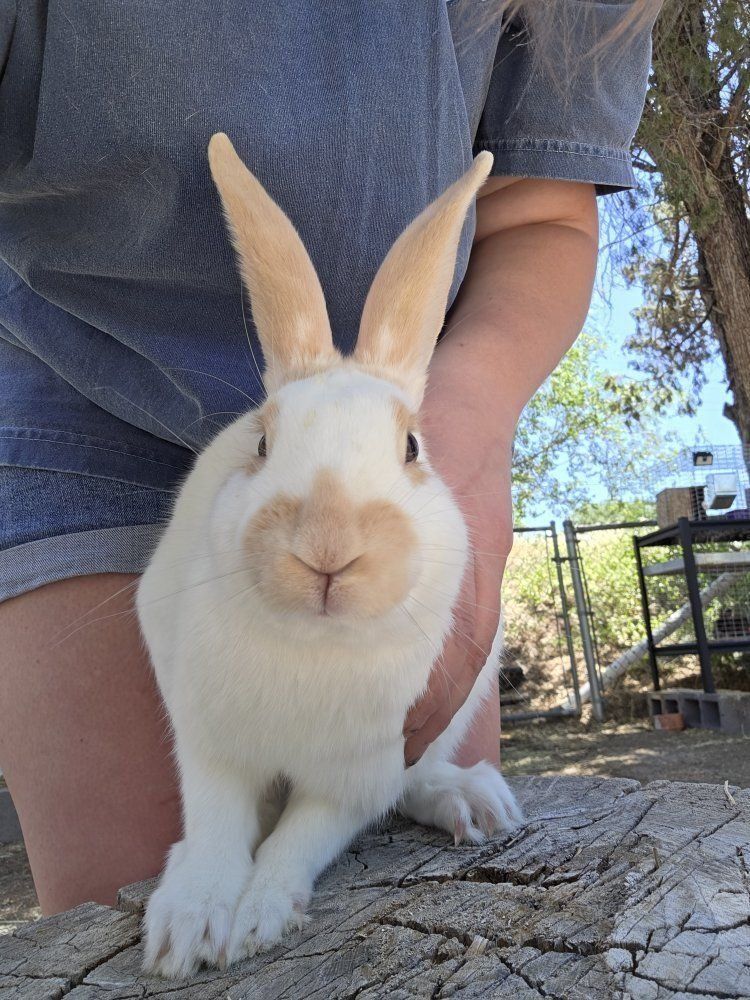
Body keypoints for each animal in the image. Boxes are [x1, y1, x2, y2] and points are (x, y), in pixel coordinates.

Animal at [137, 132, 523, 979]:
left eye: (411, 448)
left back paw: (470, 801)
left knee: (418, 783)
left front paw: (257, 919)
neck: (311, 649)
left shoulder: (357, 774)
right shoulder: (210, 743)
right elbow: (217, 826)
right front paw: (188, 929)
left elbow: (300, 839)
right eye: (262, 444)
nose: (328, 547)